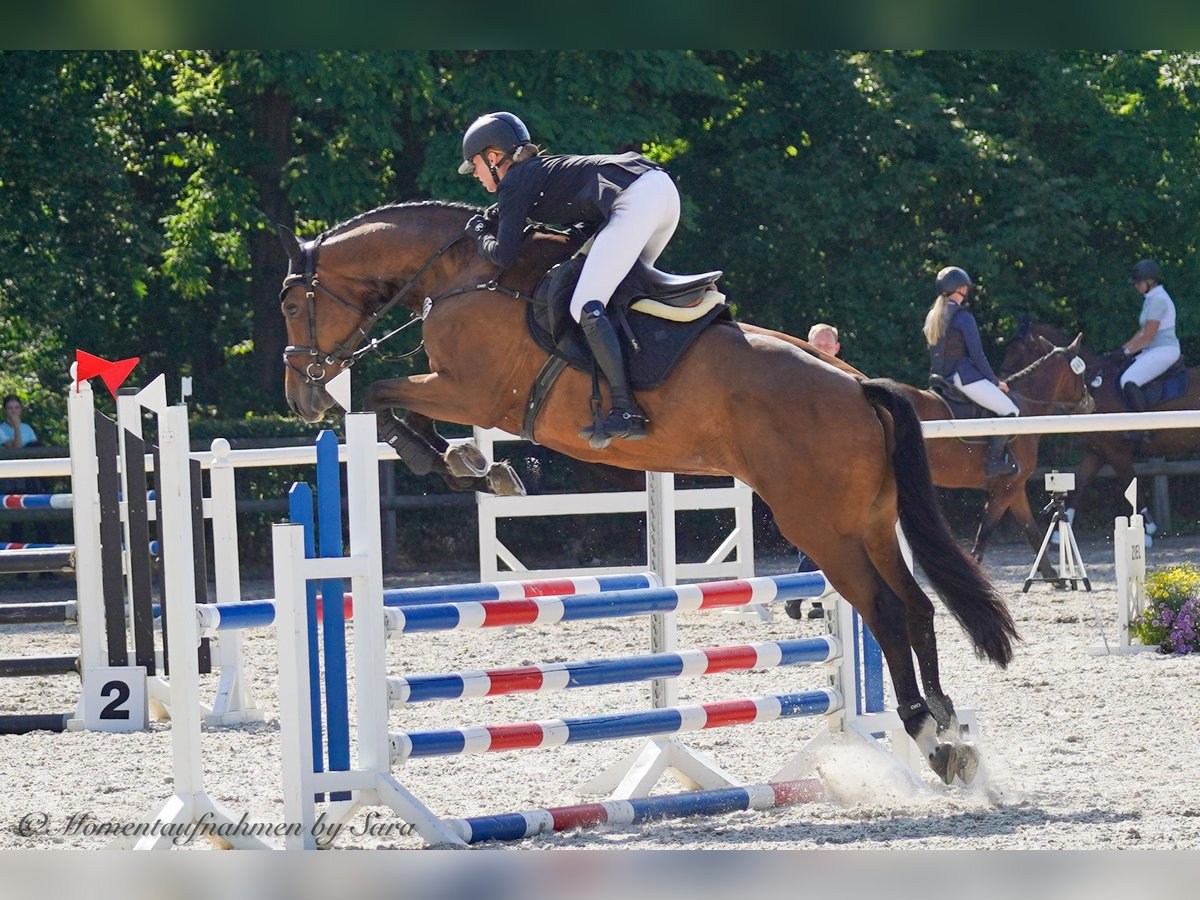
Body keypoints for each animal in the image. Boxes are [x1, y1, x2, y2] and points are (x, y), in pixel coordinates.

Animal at [276, 200, 1017, 787]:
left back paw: (926, 732)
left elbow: (383, 396)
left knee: (885, 611)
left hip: (823, 529)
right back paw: (951, 730)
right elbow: (396, 405)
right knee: (917, 605)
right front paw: (474, 464)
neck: (464, 274)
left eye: (288, 304)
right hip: (869, 521)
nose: (302, 398)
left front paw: (460, 463)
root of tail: (859, 386)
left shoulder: (470, 390)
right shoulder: (459, 391)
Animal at [998, 321, 1200, 525]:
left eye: (1019, 350)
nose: (1001, 381)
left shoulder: (1117, 452)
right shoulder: (1096, 452)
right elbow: (1080, 485)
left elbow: (1130, 485)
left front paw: (1149, 527)